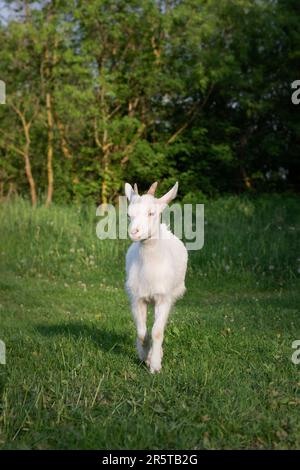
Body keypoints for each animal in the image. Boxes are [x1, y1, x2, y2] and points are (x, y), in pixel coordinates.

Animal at [125, 182, 188, 372]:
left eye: (151, 213)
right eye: (129, 214)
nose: (134, 232)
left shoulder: (163, 298)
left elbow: (157, 332)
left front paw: (154, 365)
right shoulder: (137, 298)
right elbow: (142, 333)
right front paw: (144, 356)